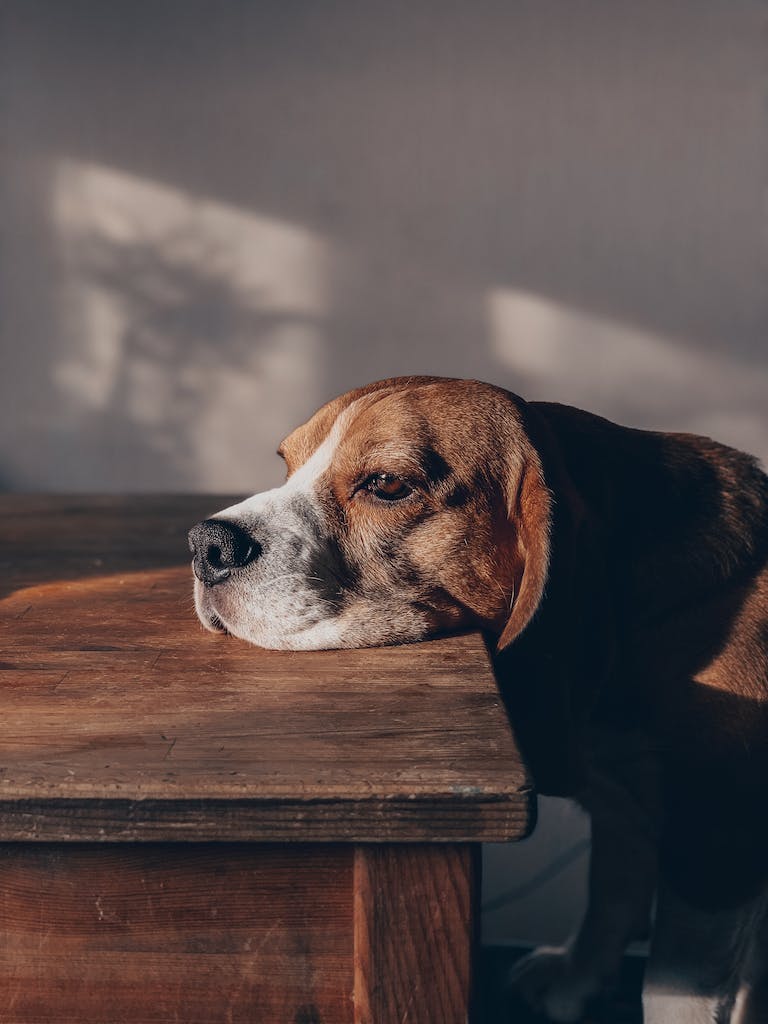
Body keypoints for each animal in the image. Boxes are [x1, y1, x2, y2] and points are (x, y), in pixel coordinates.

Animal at [189, 378, 768, 1024]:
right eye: (288, 464)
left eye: (387, 485)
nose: (206, 544)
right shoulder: (624, 807)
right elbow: (611, 891)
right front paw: (577, 978)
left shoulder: (715, 841)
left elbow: (671, 986)